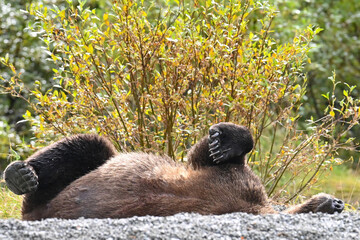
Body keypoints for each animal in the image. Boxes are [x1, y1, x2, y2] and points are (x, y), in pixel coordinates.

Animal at [4, 123, 344, 220]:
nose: (339, 202)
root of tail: (37, 213)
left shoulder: (241, 194)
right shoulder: (234, 180)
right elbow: (207, 154)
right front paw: (223, 140)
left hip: (47, 200)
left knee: (90, 147)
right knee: (90, 146)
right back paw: (20, 174)